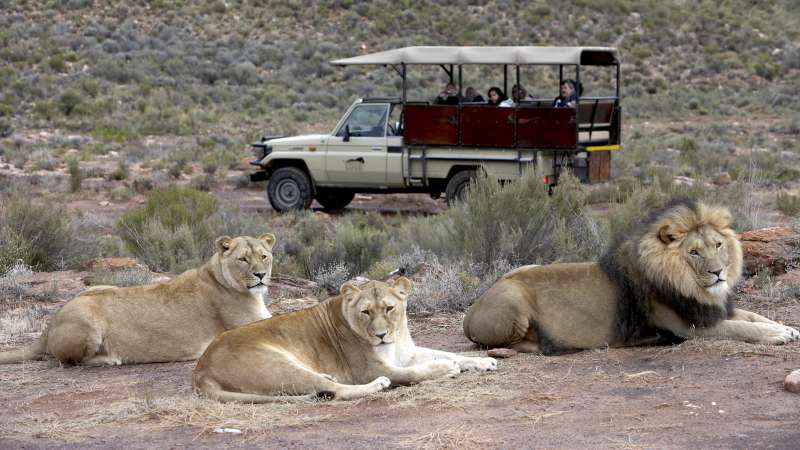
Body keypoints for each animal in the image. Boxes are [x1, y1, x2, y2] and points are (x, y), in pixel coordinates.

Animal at [0, 234, 277, 366]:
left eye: (264, 256)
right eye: (243, 259)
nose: (261, 275)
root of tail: (51, 322)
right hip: (87, 321)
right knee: (70, 361)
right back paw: (111, 358)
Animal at [193, 277, 497, 402]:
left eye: (389, 308)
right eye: (366, 312)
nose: (381, 335)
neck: (396, 338)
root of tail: (200, 369)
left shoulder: (406, 353)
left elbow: (448, 353)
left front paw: (484, 362)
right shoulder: (371, 368)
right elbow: (415, 372)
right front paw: (445, 369)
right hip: (278, 365)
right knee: (333, 391)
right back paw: (376, 386)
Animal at [463, 201, 800, 354]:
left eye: (718, 245)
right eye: (694, 252)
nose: (718, 273)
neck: (693, 286)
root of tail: (470, 311)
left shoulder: (711, 309)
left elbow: (753, 316)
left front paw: (787, 327)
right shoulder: (688, 327)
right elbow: (740, 327)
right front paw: (777, 336)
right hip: (514, 299)